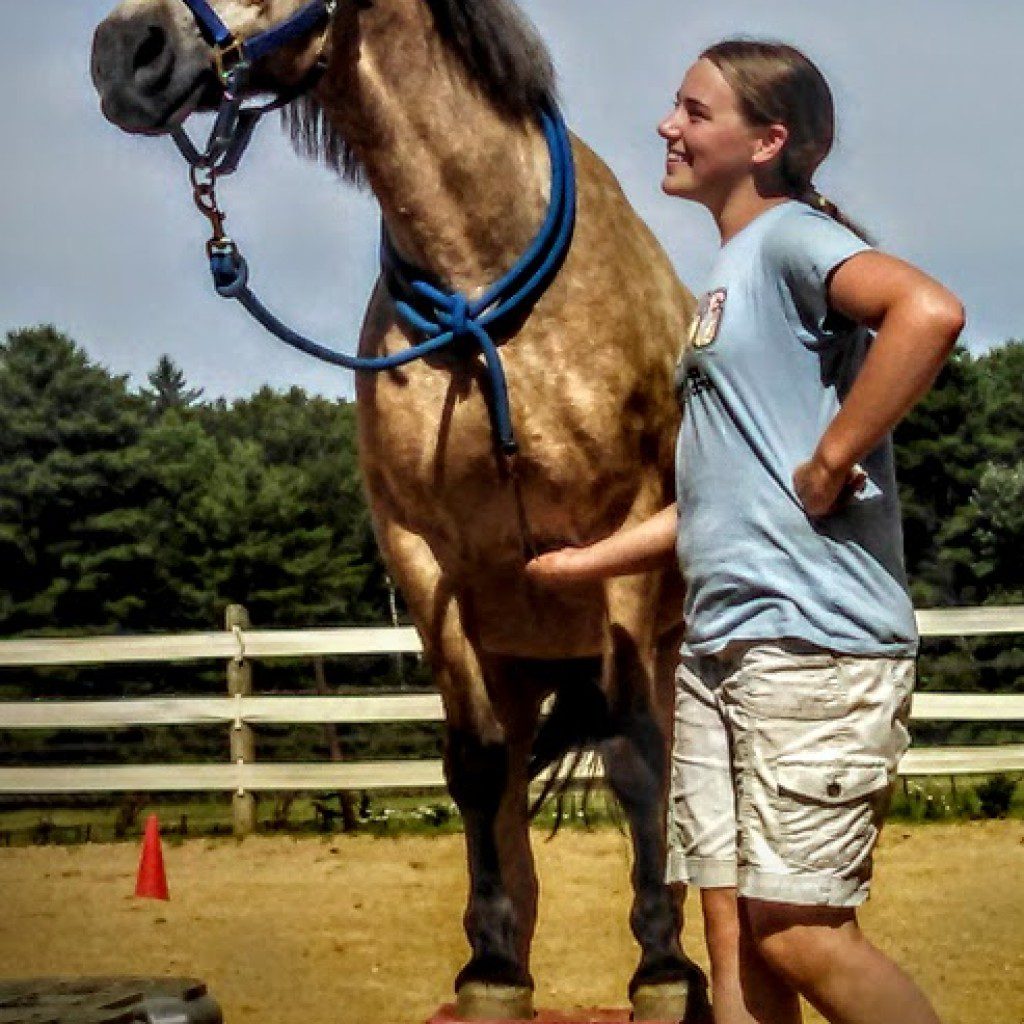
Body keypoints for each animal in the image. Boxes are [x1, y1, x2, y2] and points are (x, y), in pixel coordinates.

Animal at [92, 4, 708, 1019]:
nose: (122, 56)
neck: (484, 297)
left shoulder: (624, 532)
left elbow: (634, 763)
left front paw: (661, 971)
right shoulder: (425, 561)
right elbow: (475, 766)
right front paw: (490, 970)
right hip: (518, 666)